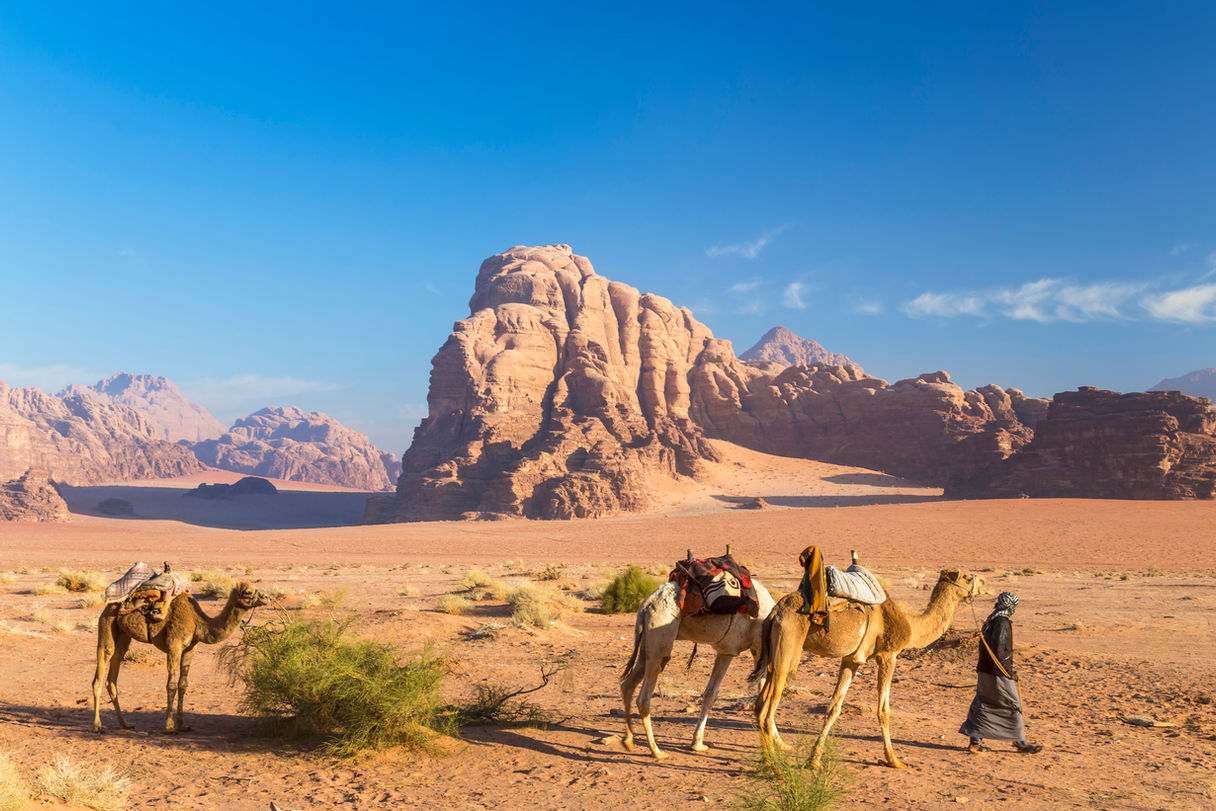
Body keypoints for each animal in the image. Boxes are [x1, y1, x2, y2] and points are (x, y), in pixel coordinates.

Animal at [92, 582, 269, 734]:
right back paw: (97, 726)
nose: (266, 597)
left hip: (123, 635)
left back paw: (126, 724)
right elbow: (171, 685)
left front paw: (183, 725)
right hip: (107, 623)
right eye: (247, 592)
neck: (198, 622)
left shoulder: (190, 649)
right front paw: (169, 727)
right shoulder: (174, 646)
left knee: (113, 674)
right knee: (101, 669)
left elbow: (183, 684)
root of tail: (111, 604)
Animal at [620, 578, 776, 759]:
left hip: (646, 642)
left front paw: (697, 743)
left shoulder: (734, 651)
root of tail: (646, 604)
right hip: (660, 636)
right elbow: (766, 697)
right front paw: (778, 744)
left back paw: (628, 741)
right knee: (643, 697)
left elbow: (711, 694)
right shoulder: (751, 650)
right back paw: (656, 750)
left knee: (627, 684)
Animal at [752, 568, 984, 769]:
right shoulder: (888, 656)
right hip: (788, 646)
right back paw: (774, 766)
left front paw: (814, 760)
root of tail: (775, 612)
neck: (910, 626)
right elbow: (884, 710)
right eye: (967, 577)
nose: (982, 586)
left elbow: (834, 707)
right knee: (767, 710)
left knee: (760, 703)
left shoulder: (852, 660)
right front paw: (893, 760)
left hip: (774, 653)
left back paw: (767, 759)